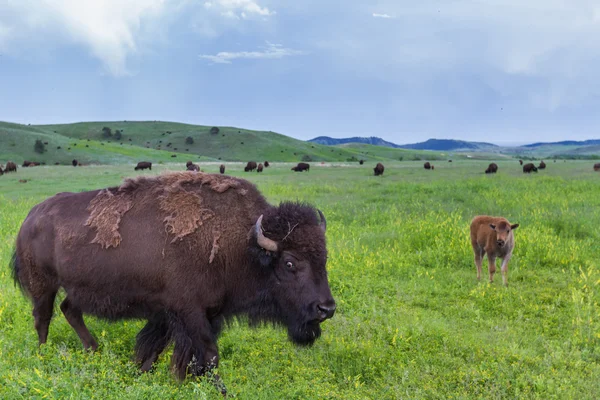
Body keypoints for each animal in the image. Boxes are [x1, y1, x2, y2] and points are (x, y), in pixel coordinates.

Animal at [11, 172, 336, 394]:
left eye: (324, 258)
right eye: (290, 263)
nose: (327, 308)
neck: (242, 244)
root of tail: (30, 217)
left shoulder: (180, 312)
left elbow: (158, 347)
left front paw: (143, 373)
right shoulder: (189, 311)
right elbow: (208, 353)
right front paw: (218, 390)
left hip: (76, 287)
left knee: (69, 310)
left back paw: (93, 350)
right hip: (44, 285)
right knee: (43, 318)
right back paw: (43, 355)